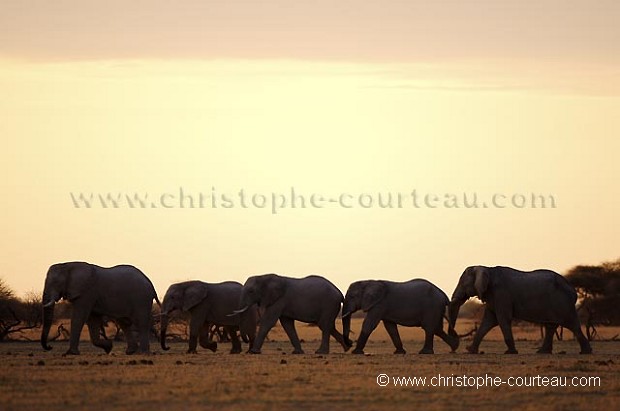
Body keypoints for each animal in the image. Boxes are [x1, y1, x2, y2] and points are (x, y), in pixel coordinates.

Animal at [448, 268, 592, 354]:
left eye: (463, 283)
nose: (455, 348)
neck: (486, 268)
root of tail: (572, 289)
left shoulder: (501, 294)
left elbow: (502, 319)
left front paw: (510, 352)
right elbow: (489, 321)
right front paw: (470, 350)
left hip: (562, 303)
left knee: (572, 324)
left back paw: (585, 352)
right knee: (551, 325)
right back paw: (542, 352)